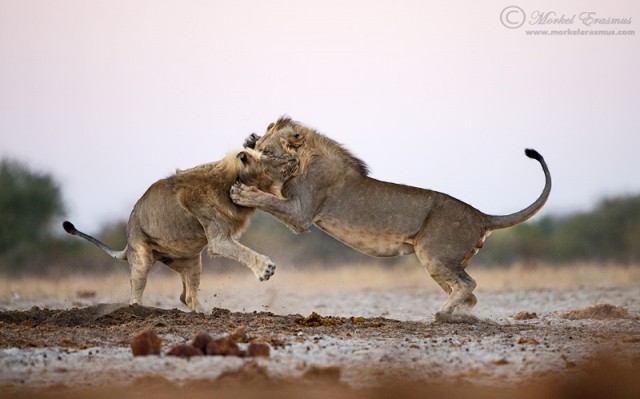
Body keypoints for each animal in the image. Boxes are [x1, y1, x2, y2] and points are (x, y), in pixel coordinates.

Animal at [62, 148, 298, 314]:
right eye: (270, 158)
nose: (294, 159)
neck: (229, 181)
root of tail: (127, 241)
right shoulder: (218, 240)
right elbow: (243, 252)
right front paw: (265, 269)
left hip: (192, 262)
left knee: (187, 297)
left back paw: (205, 313)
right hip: (142, 259)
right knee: (136, 295)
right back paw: (138, 310)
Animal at [230, 117, 552, 324]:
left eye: (266, 151)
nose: (247, 148)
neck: (303, 159)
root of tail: (481, 216)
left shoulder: (301, 214)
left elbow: (269, 200)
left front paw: (242, 192)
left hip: (434, 254)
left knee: (468, 284)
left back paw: (442, 315)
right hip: (445, 261)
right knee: (469, 293)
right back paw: (459, 316)